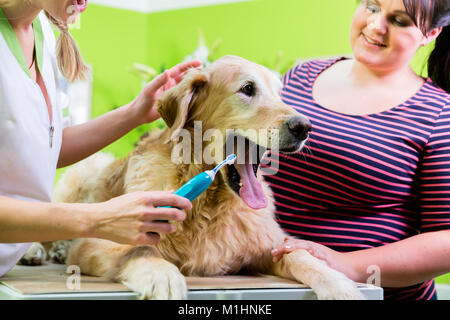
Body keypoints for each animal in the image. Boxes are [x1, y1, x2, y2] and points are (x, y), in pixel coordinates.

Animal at [46, 55, 362, 300]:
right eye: (248, 88)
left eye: (280, 94)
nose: (304, 127)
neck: (211, 202)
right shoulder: (92, 243)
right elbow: (139, 250)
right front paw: (163, 277)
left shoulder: (268, 246)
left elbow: (300, 255)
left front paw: (339, 284)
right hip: (84, 171)